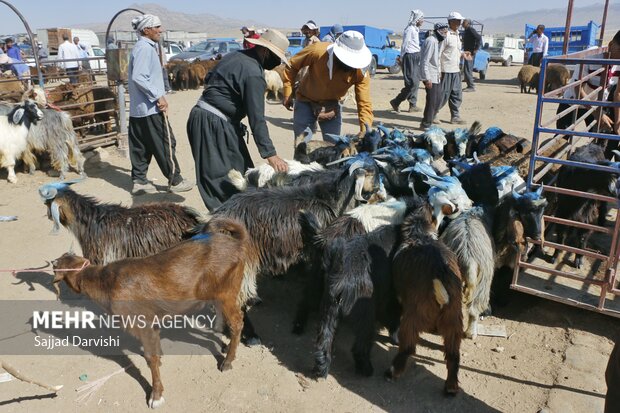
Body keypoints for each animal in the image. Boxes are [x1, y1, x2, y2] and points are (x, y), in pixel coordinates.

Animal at [50, 217, 249, 408]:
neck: (107, 282)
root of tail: (237, 242)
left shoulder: (142, 323)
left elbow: (150, 358)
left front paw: (156, 395)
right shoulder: (151, 322)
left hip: (227, 291)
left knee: (237, 321)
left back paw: (228, 361)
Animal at [386, 195, 462, 394]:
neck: (419, 233)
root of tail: (441, 274)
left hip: (413, 318)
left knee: (407, 348)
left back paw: (392, 372)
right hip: (453, 321)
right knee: (453, 355)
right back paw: (451, 387)